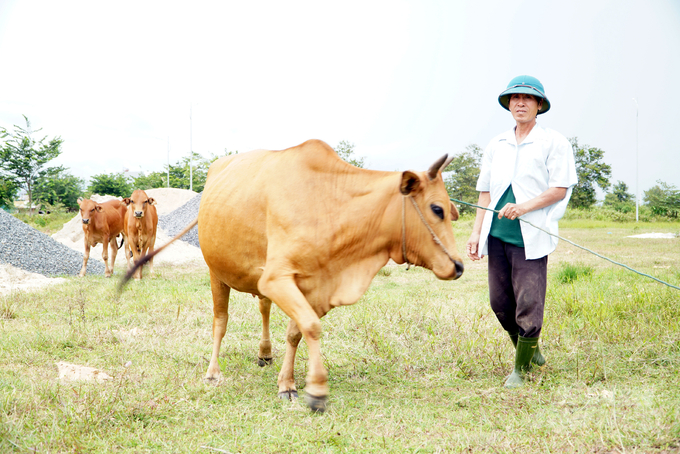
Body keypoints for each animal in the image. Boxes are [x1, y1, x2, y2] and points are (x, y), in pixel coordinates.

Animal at [121, 140, 462, 414]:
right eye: (436, 209)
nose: (458, 265)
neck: (330, 205)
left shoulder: (311, 288)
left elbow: (296, 333)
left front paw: (288, 383)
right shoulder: (276, 279)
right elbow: (311, 327)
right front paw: (317, 389)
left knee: (263, 309)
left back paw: (264, 352)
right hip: (216, 272)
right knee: (220, 322)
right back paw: (213, 372)